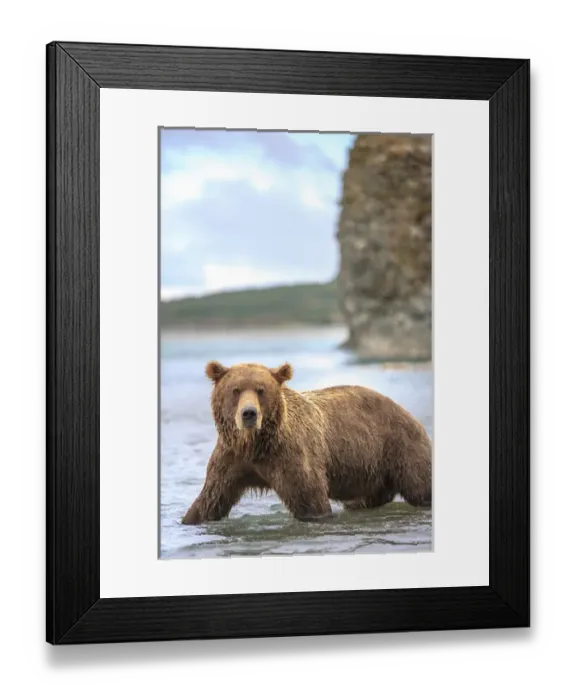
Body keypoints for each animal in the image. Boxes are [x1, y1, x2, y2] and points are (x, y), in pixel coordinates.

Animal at [181, 360, 432, 525]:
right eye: (235, 390)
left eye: (261, 390)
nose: (249, 413)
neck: (256, 445)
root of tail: (407, 412)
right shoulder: (231, 458)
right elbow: (211, 498)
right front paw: (190, 518)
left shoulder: (291, 455)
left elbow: (311, 501)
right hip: (373, 469)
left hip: (399, 446)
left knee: (420, 487)